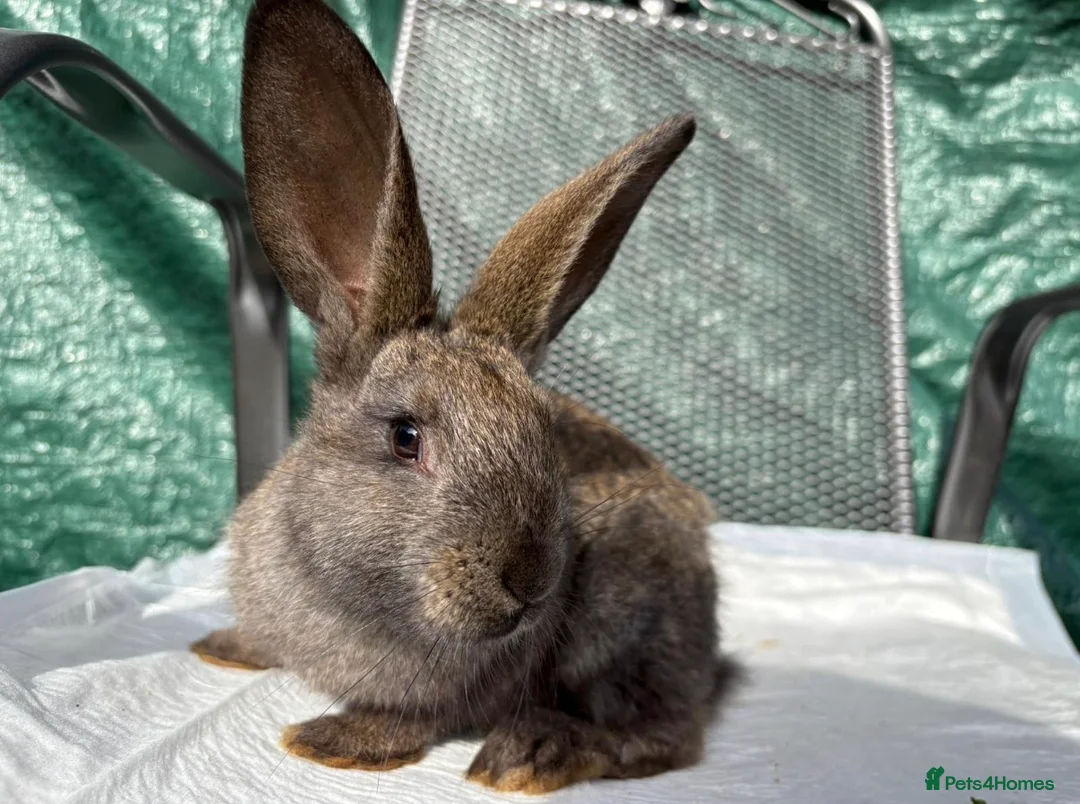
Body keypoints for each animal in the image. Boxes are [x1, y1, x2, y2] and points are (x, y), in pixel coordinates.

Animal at [191, 0, 738, 793]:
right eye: (405, 437)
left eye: (546, 435)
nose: (531, 580)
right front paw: (225, 644)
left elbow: (417, 718)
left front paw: (331, 740)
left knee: (667, 734)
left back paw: (531, 754)